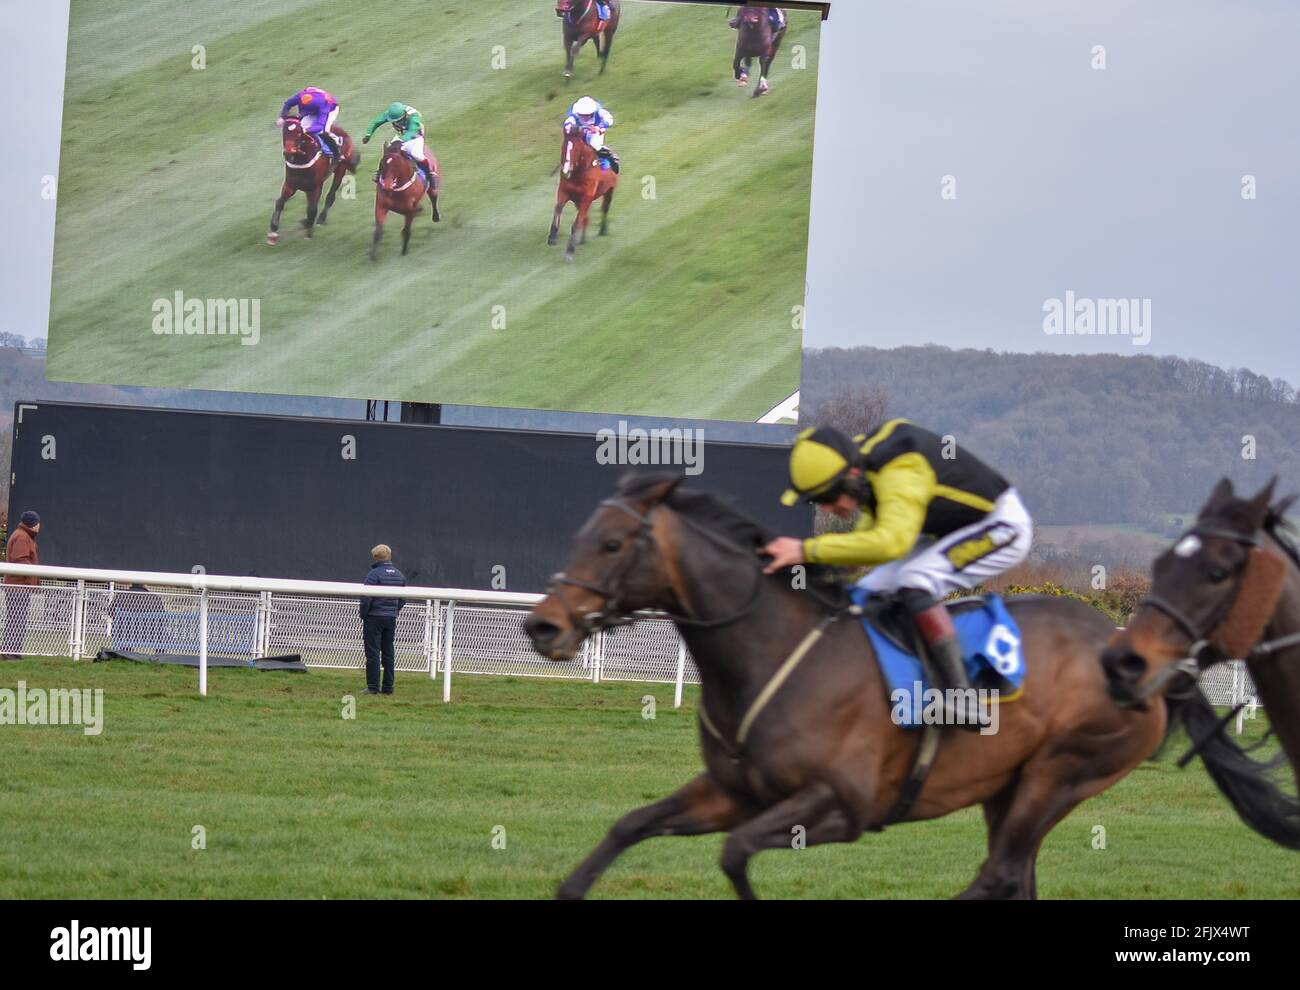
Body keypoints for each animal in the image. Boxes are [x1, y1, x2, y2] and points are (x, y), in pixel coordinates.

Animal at [267, 116, 361, 245]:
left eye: (298, 133)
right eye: (284, 132)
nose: (288, 153)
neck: (301, 159)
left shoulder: (314, 187)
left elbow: (312, 209)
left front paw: (309, 233)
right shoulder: (291, 185)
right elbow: (280, 202)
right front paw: (273, 228)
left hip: (340, 170)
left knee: (330, 197)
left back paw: (321, 218)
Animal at [522, 475, 1175, 899]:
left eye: (611, 544)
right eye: (581, 537)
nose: (542, 625)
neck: (770, 652)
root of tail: (1120, 646)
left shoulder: (844, 804)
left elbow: (735, 853)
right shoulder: (734, 791)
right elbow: (629, 825)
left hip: (1062, 772)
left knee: (1000, 875)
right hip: (1008, 790)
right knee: (1015, 877)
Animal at [543, 129, 613, 262]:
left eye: (575, 150)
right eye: (563, 147)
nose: (565, 171)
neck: (579, 173)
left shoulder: (586, 198)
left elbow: (576, 223)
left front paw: (570, 251)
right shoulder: (564, 191)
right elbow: (558, 208)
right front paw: (552, 237)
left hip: (609, 190)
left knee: (604, 209)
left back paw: (603, 230)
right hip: (578, 201)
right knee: (586, 218)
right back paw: (582, 240)